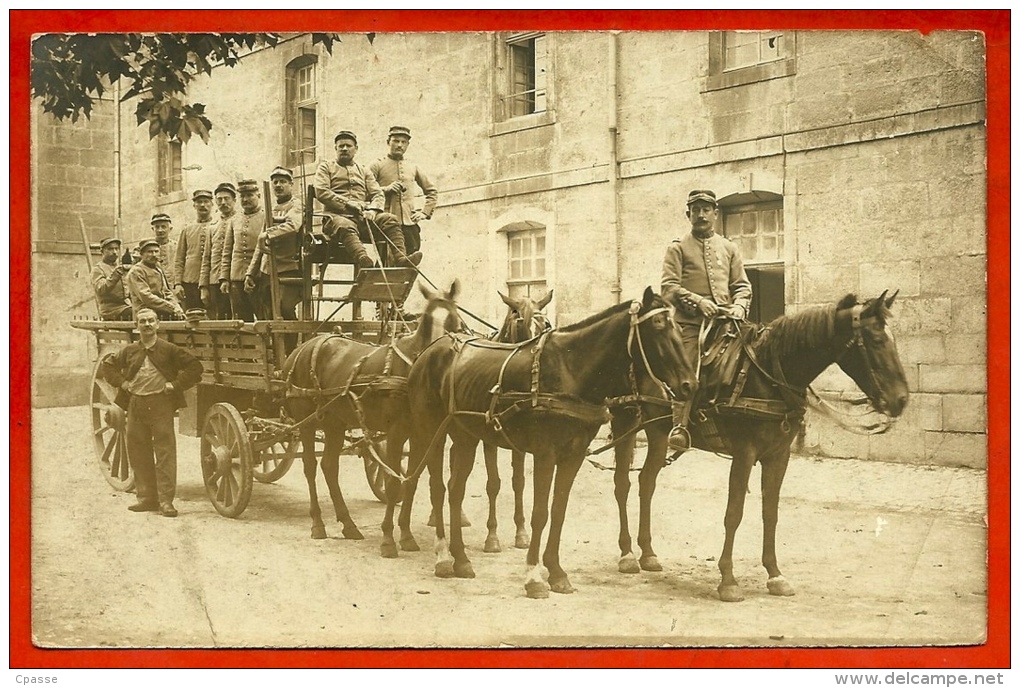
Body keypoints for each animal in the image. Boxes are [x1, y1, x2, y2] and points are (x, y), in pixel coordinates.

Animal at [283, 279, 467, 542]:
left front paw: (406, 534)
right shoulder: (396, 432)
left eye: (453, 321)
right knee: (310, 467)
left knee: (329, 466)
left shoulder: (420, 434)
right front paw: (389, 537)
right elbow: (393, 482)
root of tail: (300, 349)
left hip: (334, 422)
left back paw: (348, 524)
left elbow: (411, 480)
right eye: (426, 322)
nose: (436, 356)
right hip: (306, 421)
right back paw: (318, 523)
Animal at [405, 287, 701, 599]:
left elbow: (558, 511)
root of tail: (430, 350)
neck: (569, 369)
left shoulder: (573, 454)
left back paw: (461, 559)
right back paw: (442, 556)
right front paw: (534, 576)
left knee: (455, 490)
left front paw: (556, 572)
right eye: (658, 325)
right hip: (431, 432)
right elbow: (539, 513)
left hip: (466, 436)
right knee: (436, 487)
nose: (689, 385)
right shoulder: (544, 454)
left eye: (679, 326)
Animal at [607, 293, 913, 599]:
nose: (901, 399)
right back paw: (627, 554)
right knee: (622, 484)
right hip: (625, 421)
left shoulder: (778, 456)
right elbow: (734, 514)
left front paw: (775, 575)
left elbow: (771, 513)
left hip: (658, 434)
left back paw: (648, 553)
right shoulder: (744, 455)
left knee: (646, 482)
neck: (767, 376)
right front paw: (728, 580)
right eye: (877, 340)